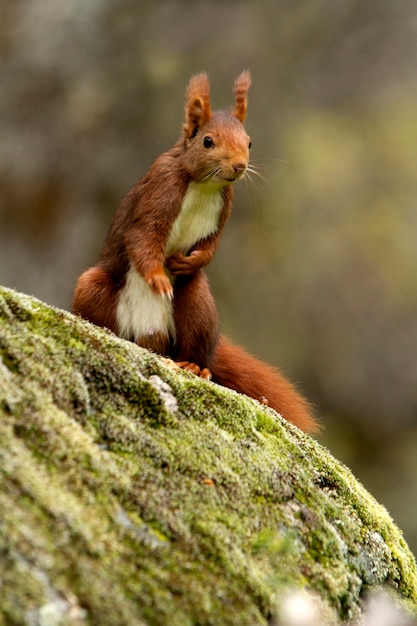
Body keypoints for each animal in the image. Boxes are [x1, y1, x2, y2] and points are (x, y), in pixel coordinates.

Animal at [73, 70, 316, 432]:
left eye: (249, 142)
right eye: (207, 141)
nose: (240, 166)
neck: (204, 185)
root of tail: (149, 339)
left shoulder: (223, 211)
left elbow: (211, 246)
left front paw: (189, 261)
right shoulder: (158, 195)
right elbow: (144, 238)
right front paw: (158, 279)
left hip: (197, 307)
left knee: (194, 347)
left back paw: (194, 367)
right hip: (94, 289)